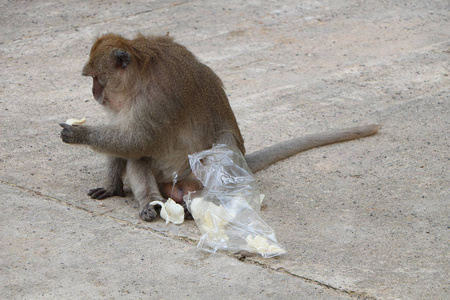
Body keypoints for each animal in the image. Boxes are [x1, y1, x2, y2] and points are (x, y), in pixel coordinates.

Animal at [59, 32, 382, 221]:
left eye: (97, 78)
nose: (94, 93)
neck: (138, 79)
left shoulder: (158, 98)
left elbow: (137, 140)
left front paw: (78, 133)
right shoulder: (123, 105)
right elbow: (127, 143)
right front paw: (112, 186)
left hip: (197, 177)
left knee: (221, 146)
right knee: (140, 158)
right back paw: (152, 202)